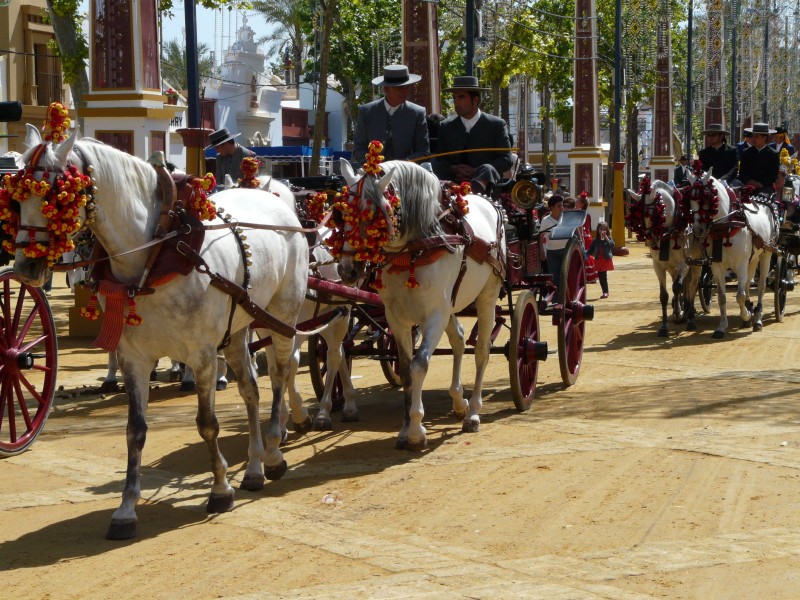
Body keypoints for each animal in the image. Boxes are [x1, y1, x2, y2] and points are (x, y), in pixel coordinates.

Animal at [14, 126, 312, 540]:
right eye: (15, 196)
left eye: (56, 195)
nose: (24, 267)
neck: (156, 253)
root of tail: (276, 198)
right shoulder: (133, 357)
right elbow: (135, 430)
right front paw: (126, 508)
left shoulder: (202, 355)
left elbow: (207, 424)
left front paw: (220, 489)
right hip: (238, 327)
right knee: (251, 390)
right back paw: (252, 467)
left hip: (281, 314)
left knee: (282, 375)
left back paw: (273, 450)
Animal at [334, 159, 504, 450]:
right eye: (342, 214)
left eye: (372, 215)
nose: (347, 270)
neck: (415, 248)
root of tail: (486, 200)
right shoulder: (396, 316)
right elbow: (405, 368)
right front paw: (405, 429)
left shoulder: (434, 314)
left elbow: (419, 364)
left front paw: (416, 429)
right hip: (450, 304)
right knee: (459, 340)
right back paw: (459, 400)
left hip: (487, 296)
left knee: (482, 350)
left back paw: (472, 413)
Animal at [624, 178, 700, 338]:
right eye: (638, 214)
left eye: (655, 214)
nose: (650, 241)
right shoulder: (658, 265)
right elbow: (664, 295)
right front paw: (665, 326)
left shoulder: (684, 263)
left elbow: (677, 287)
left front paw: (681, 315)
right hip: (671, 266)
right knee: (682, 283)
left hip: (697, 262)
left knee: (692, 285)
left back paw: (690, 314)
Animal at [684, 170, 780, 338]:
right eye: (690, 198)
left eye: (706, 197)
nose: (698, 229)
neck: (725, 227)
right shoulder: (717, 265)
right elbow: (722, 297)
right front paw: (722, 327)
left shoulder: (741, 264)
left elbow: (739, 296)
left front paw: (746, 315)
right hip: (752, 258)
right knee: (748, 284)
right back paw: (750, 309)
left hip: (766, 253)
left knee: (761, 285)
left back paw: (757, 318)